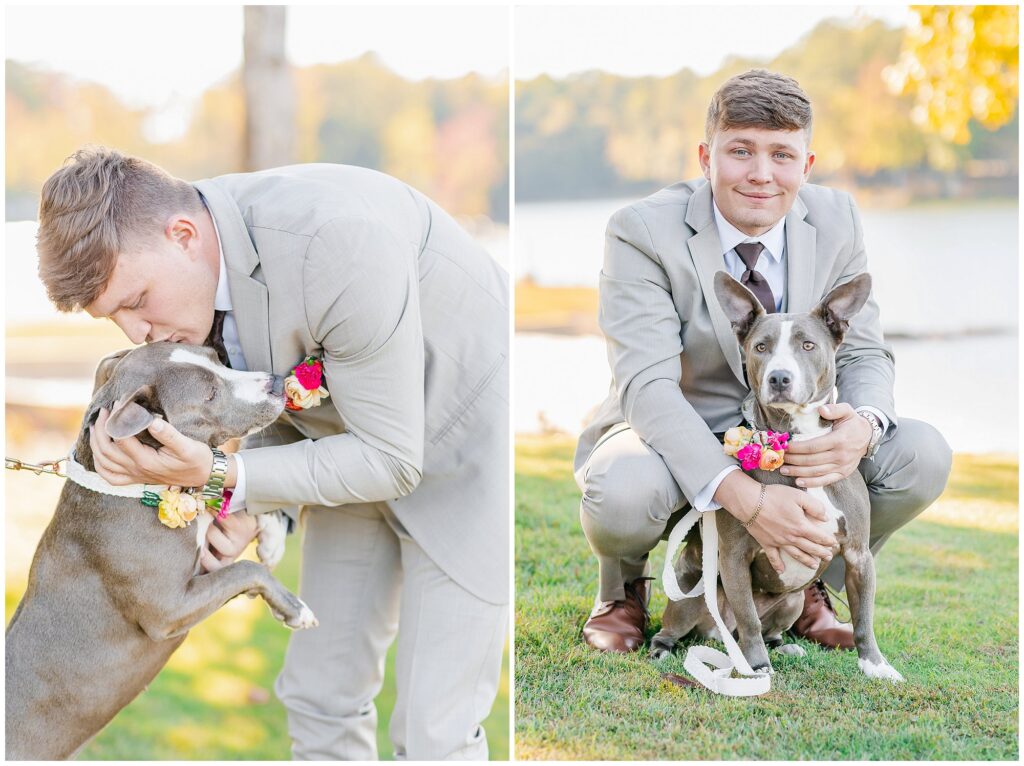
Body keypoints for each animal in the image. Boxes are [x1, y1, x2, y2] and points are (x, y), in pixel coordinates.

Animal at [6, 344, 315, 761]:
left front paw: (270, 535)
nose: (277, 382)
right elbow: (246, 570)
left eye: (216, 357)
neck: (131, 486)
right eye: (209, 394)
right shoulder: (168, 609)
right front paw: (294, 609)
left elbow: (230, 504)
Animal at [651, 274, 901, 684]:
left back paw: (785, 646)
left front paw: (875, 665)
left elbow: (864, 618)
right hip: (690, 599)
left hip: (793, 601)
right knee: (692, 627)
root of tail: (718, 634)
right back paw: (665, 650)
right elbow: (749, 620)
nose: (779, 377)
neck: (799, 438)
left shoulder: (858, 555)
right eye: (761, 347)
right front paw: (755, 668)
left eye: (808, 344)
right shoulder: (734, 556)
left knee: (770, 627)